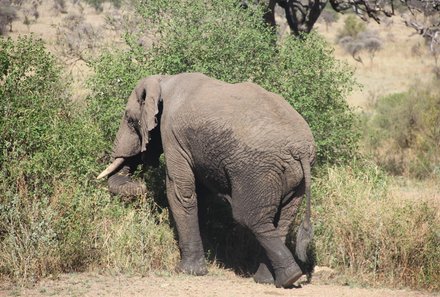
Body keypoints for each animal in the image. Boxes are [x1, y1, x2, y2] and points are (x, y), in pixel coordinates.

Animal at [97, 71, 316, 286]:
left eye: (129, 119)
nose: (141, 186)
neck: (163, 80)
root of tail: (301, 149)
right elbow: (199, 195)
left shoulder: (173, 135)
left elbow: (181, 192)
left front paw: (188, 272)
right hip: (293, 178)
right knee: (282, 220)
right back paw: (272, 280)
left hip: (258, 170)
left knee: (250, 218)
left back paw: (287, 277)